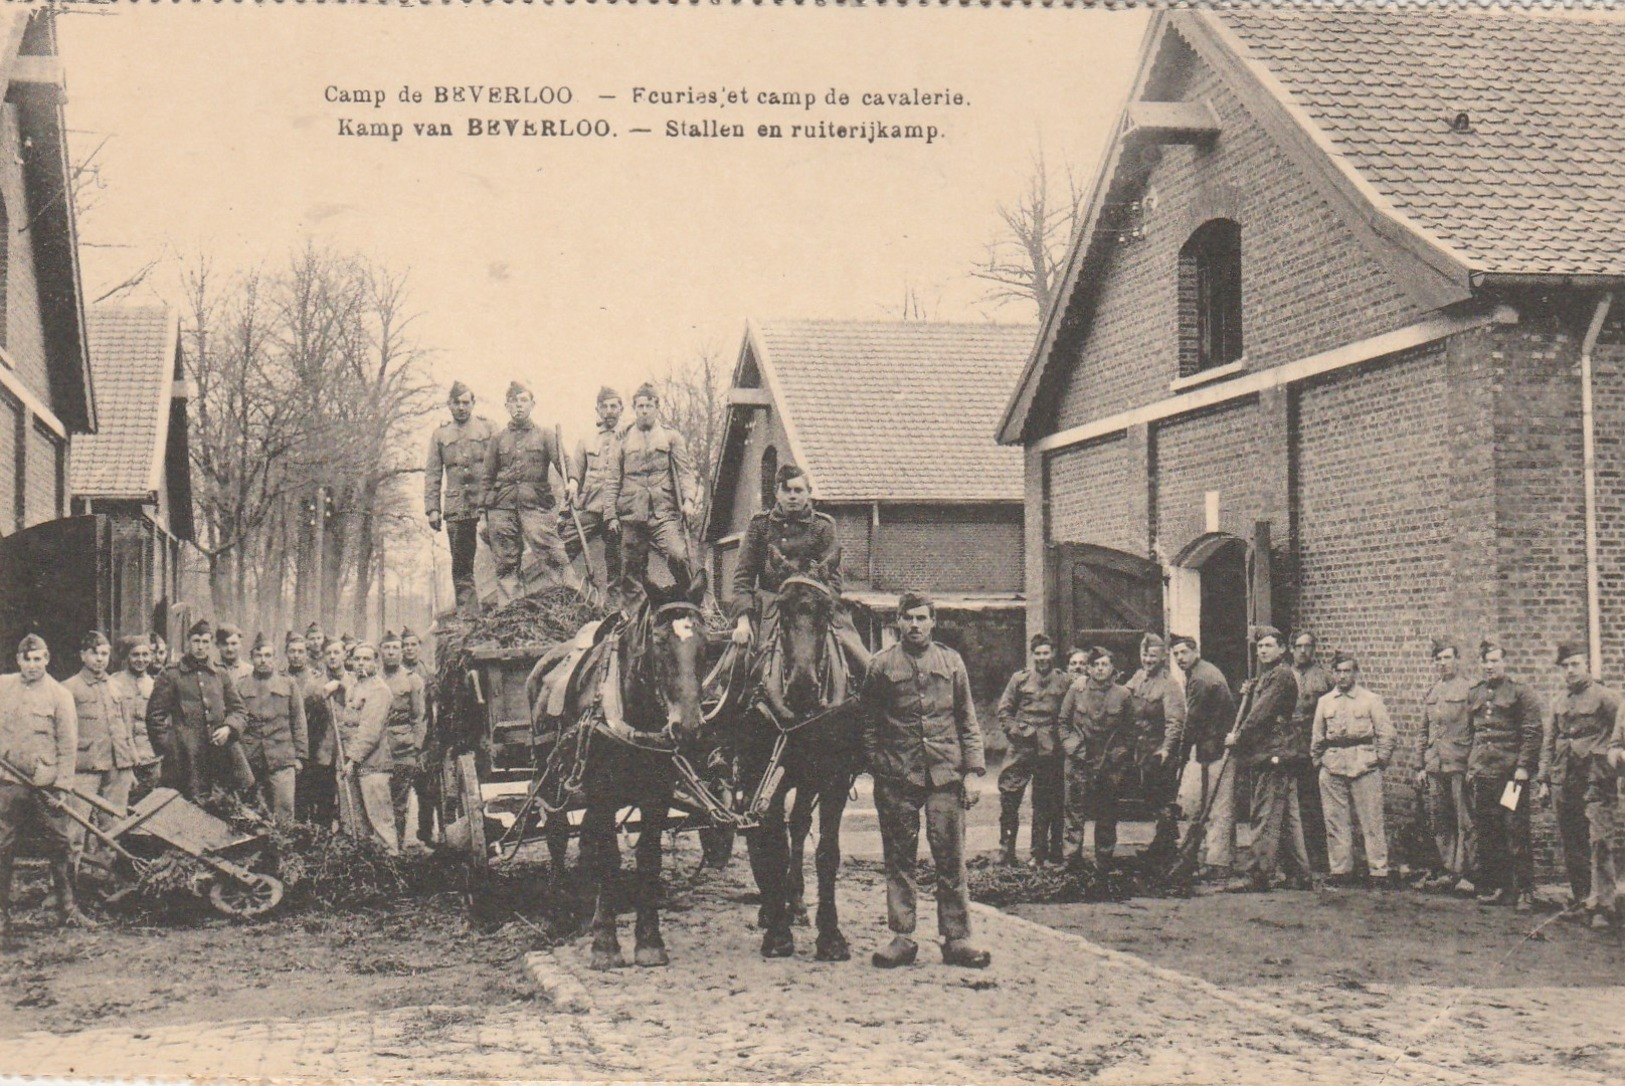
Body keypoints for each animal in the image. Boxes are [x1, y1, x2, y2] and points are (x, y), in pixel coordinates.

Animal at [529, 572, 708, 968]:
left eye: (705, 642)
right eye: (659, 641)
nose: (688, 727)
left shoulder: (657, 793)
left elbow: (648, 856)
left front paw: (649, 940)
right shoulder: (601, 792)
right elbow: (609, 856)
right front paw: (606, 944)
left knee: (585, 839)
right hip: (551, 780)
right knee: (557, 835)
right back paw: (557, 913)